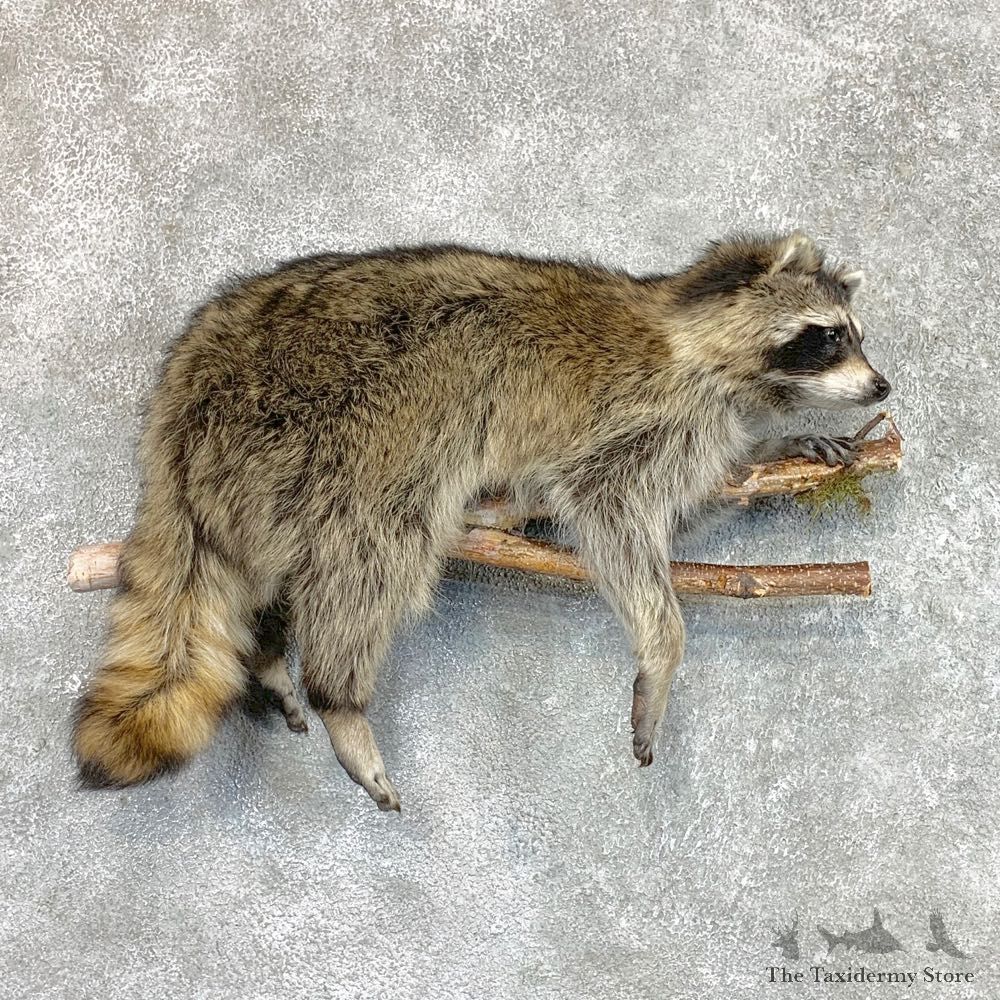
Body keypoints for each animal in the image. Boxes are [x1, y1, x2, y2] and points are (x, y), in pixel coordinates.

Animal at [73, 231, 890, 810]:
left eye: (854, 333)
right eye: (828, 335)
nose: (883, 384)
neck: (693, 333)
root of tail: (189, 383)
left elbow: (679, 509)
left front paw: (779, 449)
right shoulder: (643, 415)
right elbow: (607, 512)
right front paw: (662, 647)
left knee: (276, 561)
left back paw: (273, 646)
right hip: (338, 421)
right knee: (371, 546)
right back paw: (339, 693)